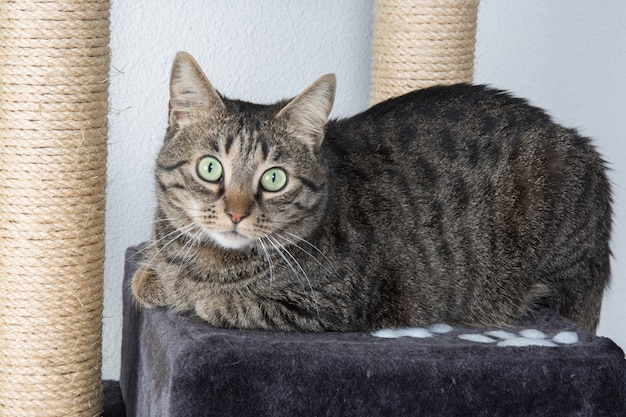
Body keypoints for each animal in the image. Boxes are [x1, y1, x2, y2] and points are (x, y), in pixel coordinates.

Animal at [130, 51, 608, 332]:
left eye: (274, 178)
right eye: (210, 168)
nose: (235, 213)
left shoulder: (334, 303)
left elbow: (222, 301)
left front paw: (196, 295)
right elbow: (149, 277)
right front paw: (155, 278)